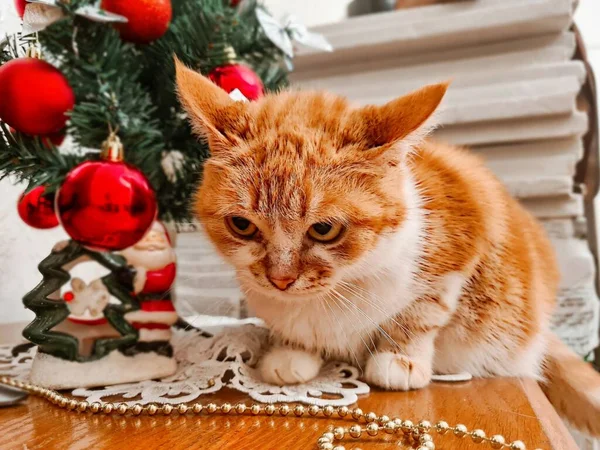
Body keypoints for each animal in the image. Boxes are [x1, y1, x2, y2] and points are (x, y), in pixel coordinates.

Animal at [176, 58, 600, 434]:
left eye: (324, 229)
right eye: (242, 225)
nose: (280, 279)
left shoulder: (463, 244)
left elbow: (423, 313)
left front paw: (399, 359)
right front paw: (291, 351)